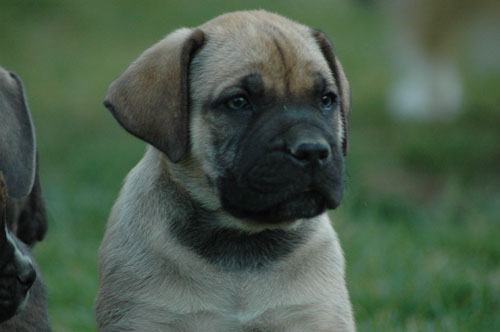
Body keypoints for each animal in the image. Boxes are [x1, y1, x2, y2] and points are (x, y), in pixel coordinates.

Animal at [96, 10, 356, 332]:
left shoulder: (314, 315)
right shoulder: (144, 316)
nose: (312, 150)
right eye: (239, 102)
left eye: (326, 100)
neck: (241, 240)